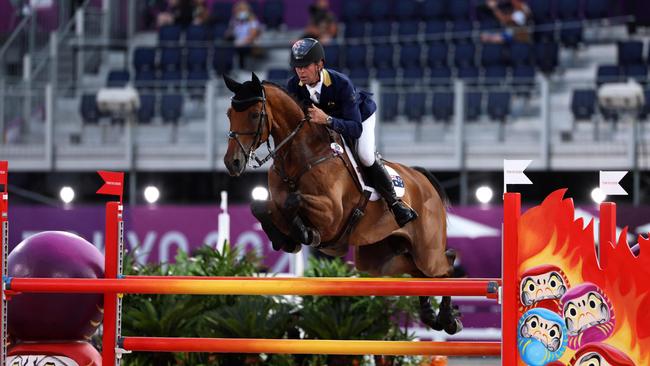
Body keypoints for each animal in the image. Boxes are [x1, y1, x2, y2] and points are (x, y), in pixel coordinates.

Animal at [223, 72, 460, 334]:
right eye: (229, 114)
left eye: (255, 114)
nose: (232, 163)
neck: (300, 154)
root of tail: (423, 180)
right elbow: (261, 206)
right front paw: (284, 239)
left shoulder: (332, 215)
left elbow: (293, 201)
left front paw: (304, 234)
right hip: (382, 259)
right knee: (420, 273)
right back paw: (431, 316)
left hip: (427, 249)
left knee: (445, 265)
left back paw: (449, 320)